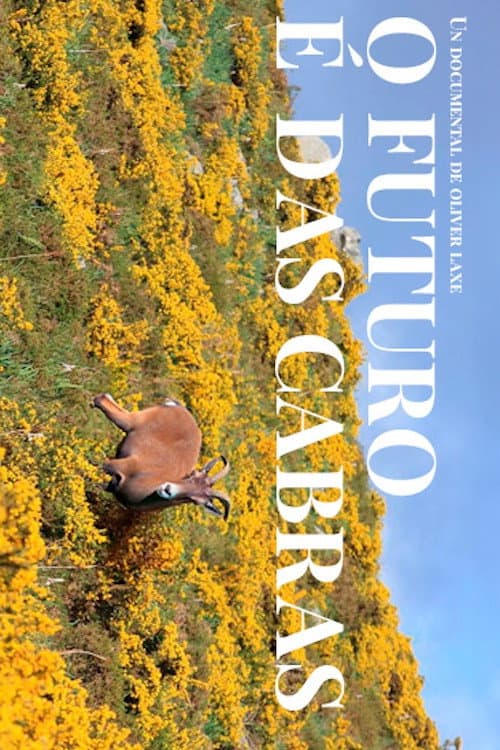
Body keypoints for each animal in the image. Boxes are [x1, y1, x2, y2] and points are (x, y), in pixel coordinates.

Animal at [92, 393, 230, 520]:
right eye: (192, 475)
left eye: (197, 500)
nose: (167, 489)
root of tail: (182, 409)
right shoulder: (122, 465)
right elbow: (103, 464)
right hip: (133, 421)